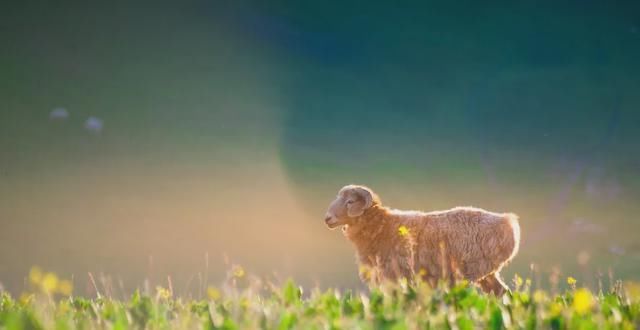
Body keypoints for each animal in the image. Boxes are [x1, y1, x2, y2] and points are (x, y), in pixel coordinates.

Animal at [324, 184, 520, 296]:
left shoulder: (396, 277)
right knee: (502, 293)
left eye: (350, 202)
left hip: (469, 272)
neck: (382, 227)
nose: (327, 218)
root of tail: (508, 222)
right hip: (487, 274)